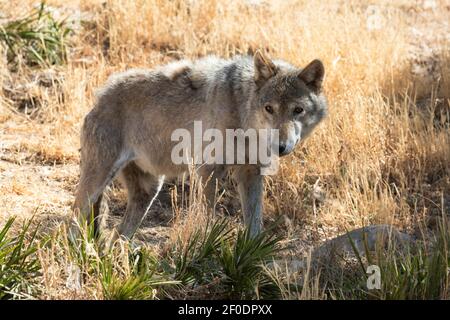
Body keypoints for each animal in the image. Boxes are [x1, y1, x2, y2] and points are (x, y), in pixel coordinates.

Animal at [73, 51, 326, 239]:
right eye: (269, 109)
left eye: (298, 110)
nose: (280, 147)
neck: (241, 114)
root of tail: (100, 96)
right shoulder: (207, 169)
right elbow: (206, 218)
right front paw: (202, 250)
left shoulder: (250, 171)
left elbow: (254, 222)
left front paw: (253, 256)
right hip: (97, 184)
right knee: (74, 219)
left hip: (148, 191)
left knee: (118, 236)